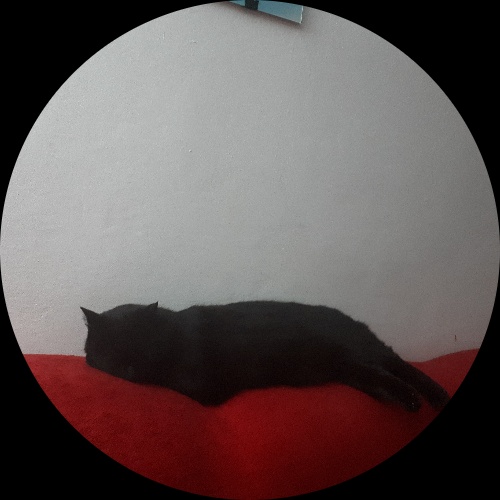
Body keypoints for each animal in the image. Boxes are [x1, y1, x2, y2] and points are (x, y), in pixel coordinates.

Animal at [81, 300, 450, 412]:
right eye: (112, 350)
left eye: (142, 344)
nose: (129, 368)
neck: (172, 335)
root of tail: (358, 324)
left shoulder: (202, 385)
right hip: (348, 368)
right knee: (377, 375)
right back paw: (404, 400)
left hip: (356, 354)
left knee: (397, 369)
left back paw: (422, 399)